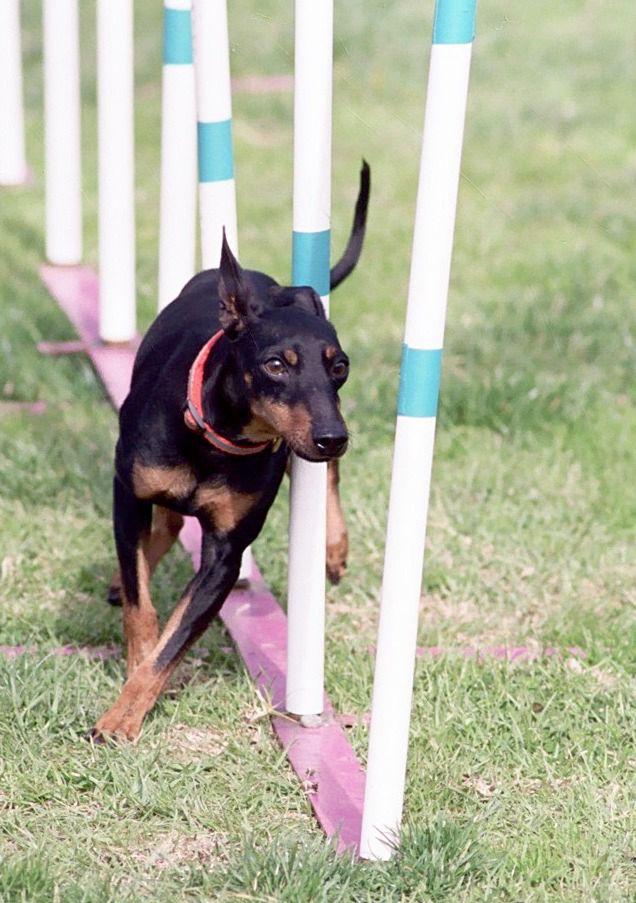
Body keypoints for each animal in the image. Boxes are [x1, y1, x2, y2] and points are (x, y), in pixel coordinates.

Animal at [89, 162, 368, 740]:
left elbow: (173, 640)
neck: (215, 439)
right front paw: (129, 689)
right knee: (162, 529)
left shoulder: (225, 554)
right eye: (276, 364)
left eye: (340, 366)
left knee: (324, 478)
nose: (334, 437)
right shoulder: (127, 494)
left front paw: (125, 713)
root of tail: (276, 286)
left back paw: (333, 544)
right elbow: (143, 611)